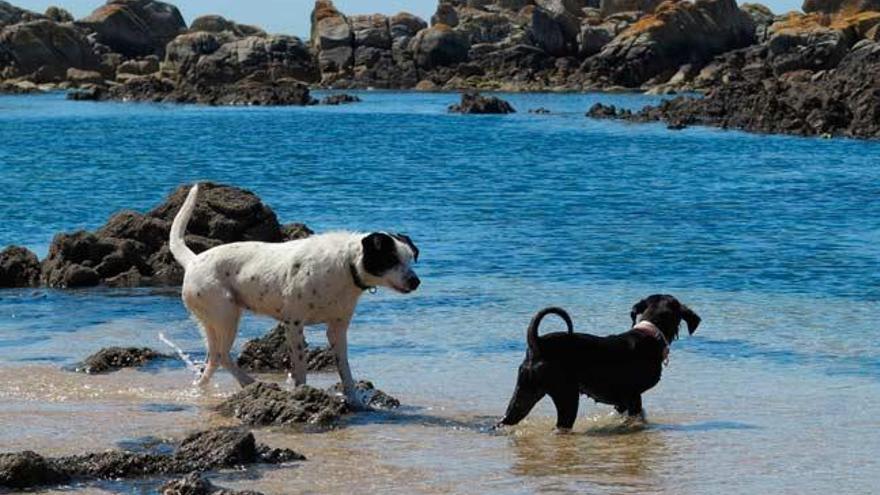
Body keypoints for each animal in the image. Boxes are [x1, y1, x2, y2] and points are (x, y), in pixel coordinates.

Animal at [171, 184, 422, 404]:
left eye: (410, 258)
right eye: (391, 259)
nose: (416, 281)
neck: (346, 265)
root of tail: (193, 260)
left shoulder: (337, 329)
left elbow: (345, 369)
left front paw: (354, 400)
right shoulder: (294, 325)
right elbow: (300, 367)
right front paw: (303, 392)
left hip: (213, 320)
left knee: (213, 358)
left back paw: (205, 387)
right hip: (226, 314)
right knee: (222, 355)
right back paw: (250, 382)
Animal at [498, 294, 696, 430]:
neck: (651, 332)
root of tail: (537, 343)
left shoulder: (622, 402)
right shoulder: (633, 396)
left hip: (525, 393)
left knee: (509, 418)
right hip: (567, 396)